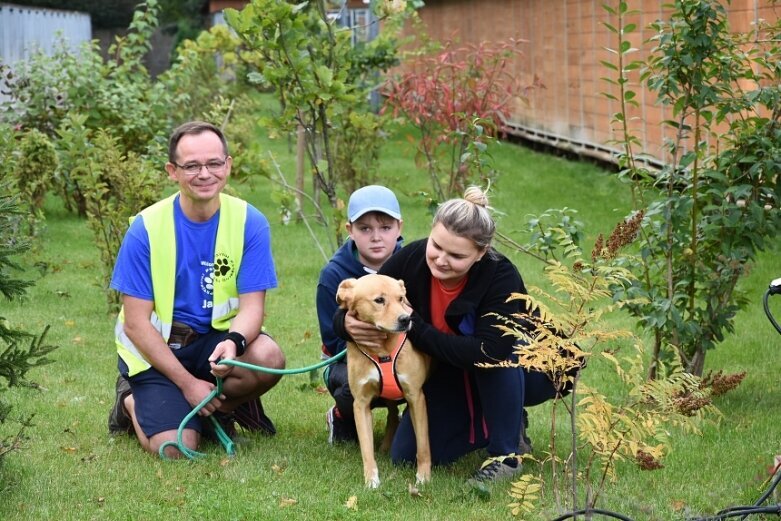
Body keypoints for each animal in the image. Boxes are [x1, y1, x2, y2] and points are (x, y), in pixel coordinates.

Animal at [336, 272, 432, 488]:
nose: (405, 319)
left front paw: (424, 477)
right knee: (392, 414)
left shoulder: (416, 397)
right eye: (379, 300)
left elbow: (423, 445)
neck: (382, 349)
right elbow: (366, 449)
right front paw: (371, 479)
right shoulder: (360, 403)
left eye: (401, 299)